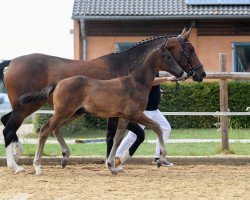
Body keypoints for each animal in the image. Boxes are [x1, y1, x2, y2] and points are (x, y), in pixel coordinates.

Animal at [0, 28, 206, 173]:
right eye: (190, 49)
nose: (200, 74)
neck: (130, 74)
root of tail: (11, 62)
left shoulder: (119, 115)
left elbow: (117, 137)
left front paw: (114, 163)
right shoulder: (127, 114)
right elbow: (133, 134)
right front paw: (117, 162)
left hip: (53, 109)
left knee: (15, 124)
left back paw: (28, 154)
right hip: (29, 107)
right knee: (14, 128)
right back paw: (19, 165)